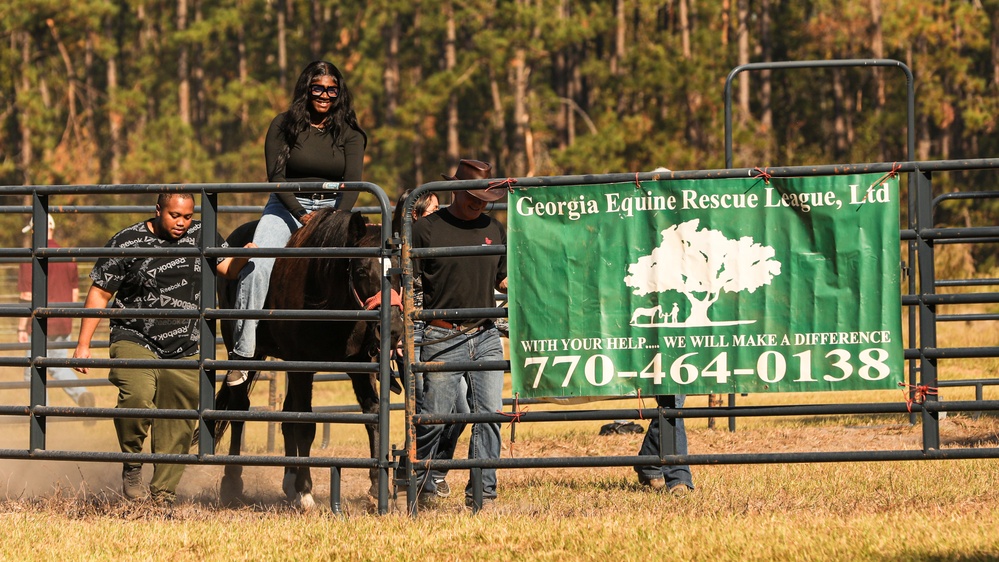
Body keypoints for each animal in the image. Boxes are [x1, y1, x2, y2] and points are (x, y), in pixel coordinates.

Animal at [215, 208, 402, 510]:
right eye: (361, 270)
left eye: (397, 271)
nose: (393, 328)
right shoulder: (302, 366)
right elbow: (305, 425)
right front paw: (305, 492)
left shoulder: (360, 368)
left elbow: (372, 415)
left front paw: (376, 488)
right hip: (246, 352)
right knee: (239, 409)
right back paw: (232, 483)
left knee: (286, 414)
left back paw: (288, 480)